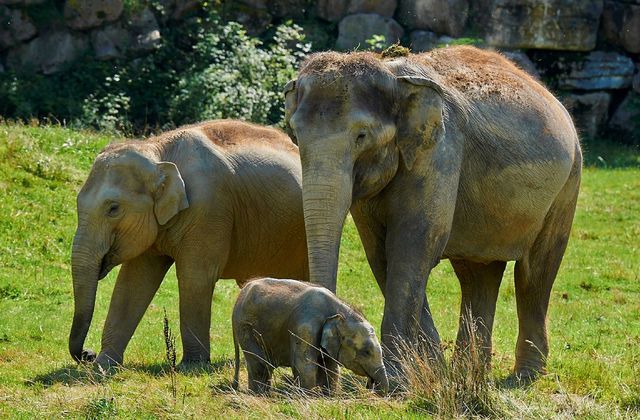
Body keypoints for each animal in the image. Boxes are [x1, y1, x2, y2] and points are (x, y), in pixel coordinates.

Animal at [70, 118, 310, 368]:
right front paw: (103, 366)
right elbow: (133, 281)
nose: (87, 354)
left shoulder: (208, 209)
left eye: (113, 208)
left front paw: (192, 366)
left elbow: (195, 277)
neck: (158, 151)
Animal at [231, 278, 388, 394]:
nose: (370, 386)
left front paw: (329, 396)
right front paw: (309, 397)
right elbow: (305, 365)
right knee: (259, 364)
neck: (339, 310)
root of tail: (240, 295)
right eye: (366, 352)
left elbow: (330, 367)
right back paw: (260, 395)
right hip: (245, 327)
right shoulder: (305, 327)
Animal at [282, 46, 584, 380]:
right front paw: (430, 372)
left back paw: (523, 377)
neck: (392, 75)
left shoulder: (440, 151)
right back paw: (468, 374)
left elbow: (413, 246)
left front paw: (399, 379)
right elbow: (381, 255)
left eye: (361, 136)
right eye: (294, 134)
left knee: (535, 272)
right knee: (479, 274)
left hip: (568, 183)